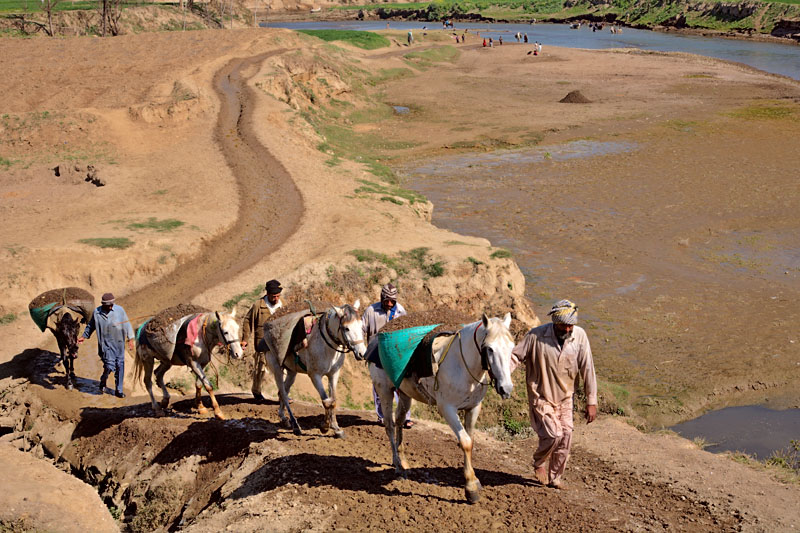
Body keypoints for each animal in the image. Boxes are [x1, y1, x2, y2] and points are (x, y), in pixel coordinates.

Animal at [268, 300, 368, 436]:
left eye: (361, 326)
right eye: (346, 328)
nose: (362, 353)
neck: (326, 345)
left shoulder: (334, 374)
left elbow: (333, 400)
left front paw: (336, 427)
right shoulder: (315, 376)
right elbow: (326, 401)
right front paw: (325, 426)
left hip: (292, 372)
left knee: (284, 391)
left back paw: (284, 418)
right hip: (277, 368)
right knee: (283, 393)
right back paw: (295, 425)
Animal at [372, 310, 516, 500]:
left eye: (512, 347)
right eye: (490, 349)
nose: (506, 388)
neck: (462, 364)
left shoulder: (473, 408)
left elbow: (471, 440)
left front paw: (472, 480)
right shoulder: (447, 409)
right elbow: (465, 442)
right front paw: (470, 487)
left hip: (404, 394)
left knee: (399, 421)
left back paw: (403, 462)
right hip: (384, 391)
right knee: (389, 425)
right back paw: (397, 467)